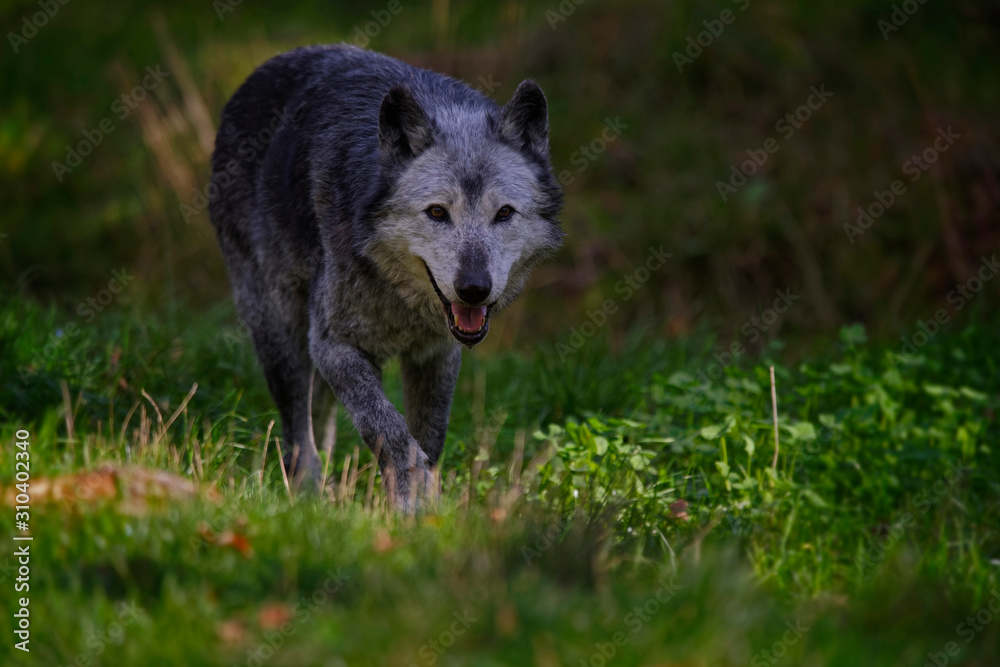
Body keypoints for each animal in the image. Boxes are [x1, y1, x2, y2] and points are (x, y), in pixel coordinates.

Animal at [209, 44, 564, 508]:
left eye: (503, 213)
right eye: (437, 212)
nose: (473, 289)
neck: (403, 301)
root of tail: (258, 73)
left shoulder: (436, 354)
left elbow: (428, 438)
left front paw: (426, 506)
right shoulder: (333, 345)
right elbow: (388, 429)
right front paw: (410, 501)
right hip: (280, 334)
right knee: (298, 434)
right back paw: (307, 496)